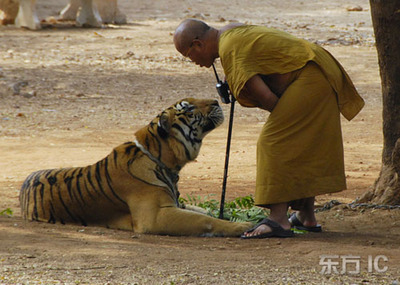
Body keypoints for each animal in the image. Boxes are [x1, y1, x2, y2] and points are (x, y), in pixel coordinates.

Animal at [20, 97, 252, 235]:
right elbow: (206, 220)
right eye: (189, 107)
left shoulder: (176, 204)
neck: (166, 162)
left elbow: (207, 213)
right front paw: (244, 226)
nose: (217, 101)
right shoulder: (155, 217)